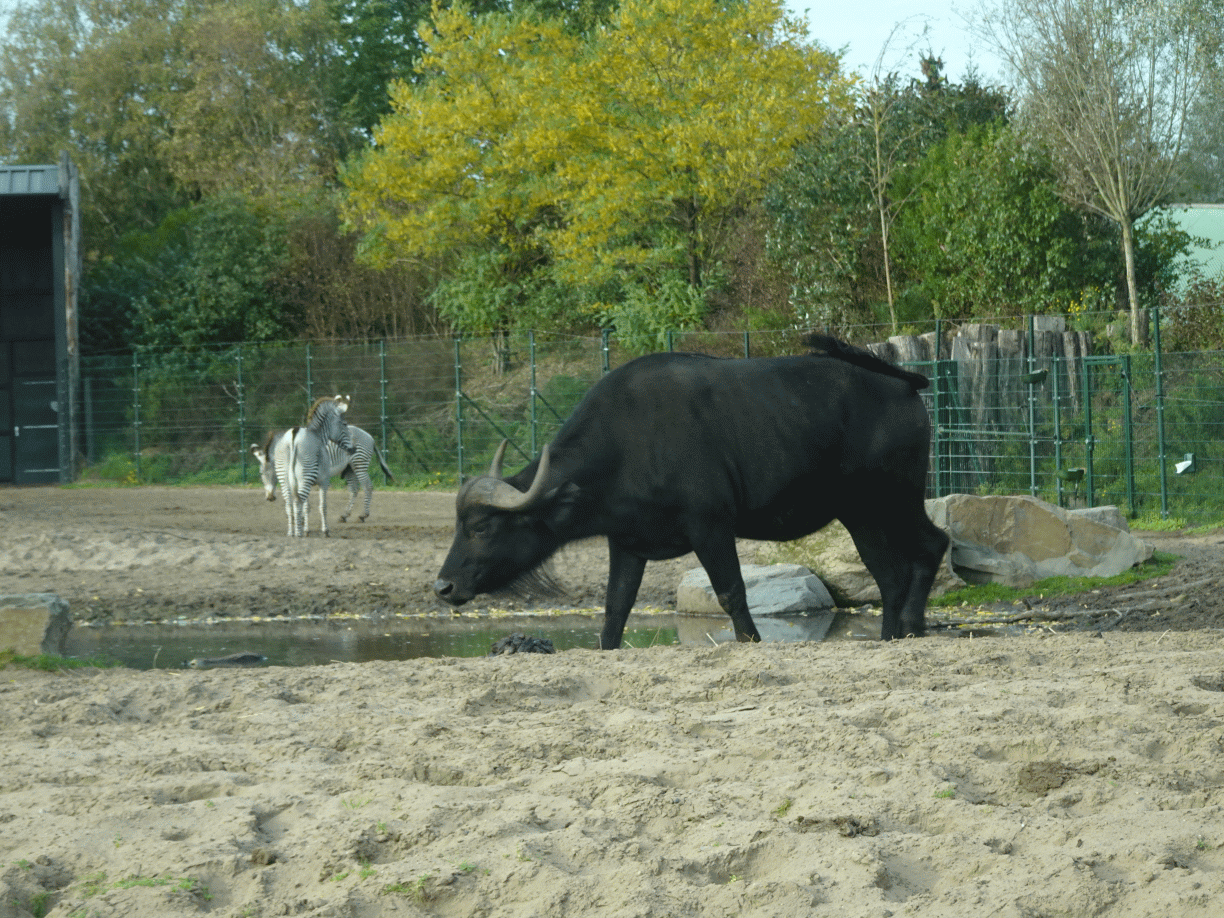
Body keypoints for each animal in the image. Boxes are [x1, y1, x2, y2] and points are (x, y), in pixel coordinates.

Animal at [435, 335, 949, 646]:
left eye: (481, 526)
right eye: (460, 524)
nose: (443, 586)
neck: (623, 446)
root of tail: (905, 384)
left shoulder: (711, 526)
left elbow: (732, 594)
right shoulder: (627, 544)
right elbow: (614, 611)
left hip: (897, 499)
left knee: (932, 546)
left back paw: (912, 628)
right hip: (860, 513)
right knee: (889, 575)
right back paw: (892, 636)